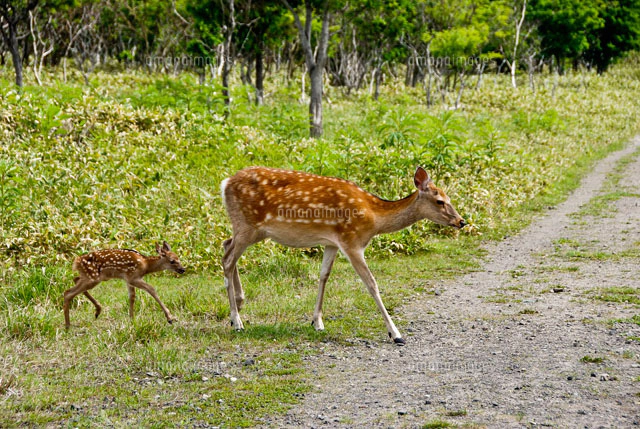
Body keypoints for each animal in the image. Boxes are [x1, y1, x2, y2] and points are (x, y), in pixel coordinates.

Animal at [220, 166, 465, 344]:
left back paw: (240, 304)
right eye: (440, 201)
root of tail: (225, 183)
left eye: (449, 198)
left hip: (251, 230)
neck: (375, 218)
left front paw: (317, 322)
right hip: (247, 225)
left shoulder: (332, 243)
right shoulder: (352, 242)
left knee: (226, 245)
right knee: (228, 259)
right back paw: (236, 320)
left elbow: (324, 276)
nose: (461, 221)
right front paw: (396, 333)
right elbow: (371, 284)